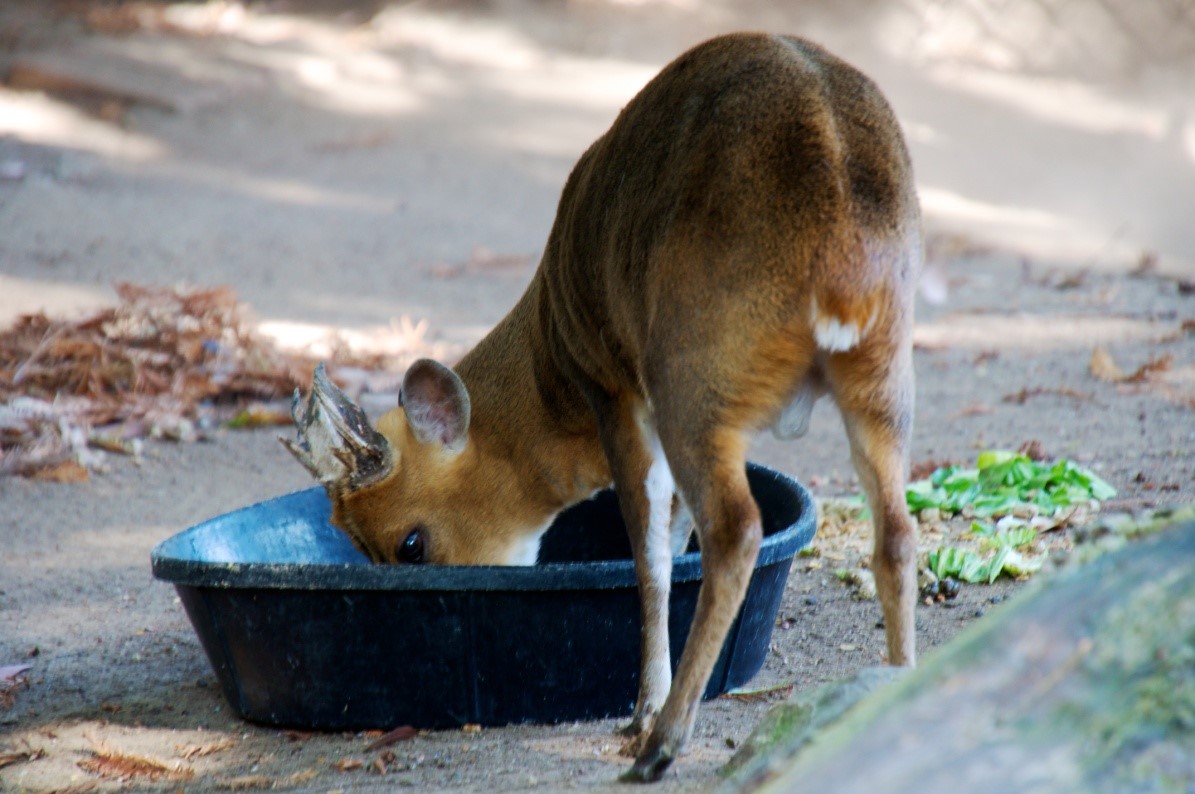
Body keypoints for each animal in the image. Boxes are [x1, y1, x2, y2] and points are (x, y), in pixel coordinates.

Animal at [284, 32, 917, 779]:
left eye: (410, 545)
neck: (551, 367)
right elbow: (674, 539)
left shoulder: (613, 388)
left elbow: (650, 557)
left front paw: (641, 710)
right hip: (882, 370)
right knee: (896, 532)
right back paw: (896, 688)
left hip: (691, 372)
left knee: (737, 530)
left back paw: (661, 741)